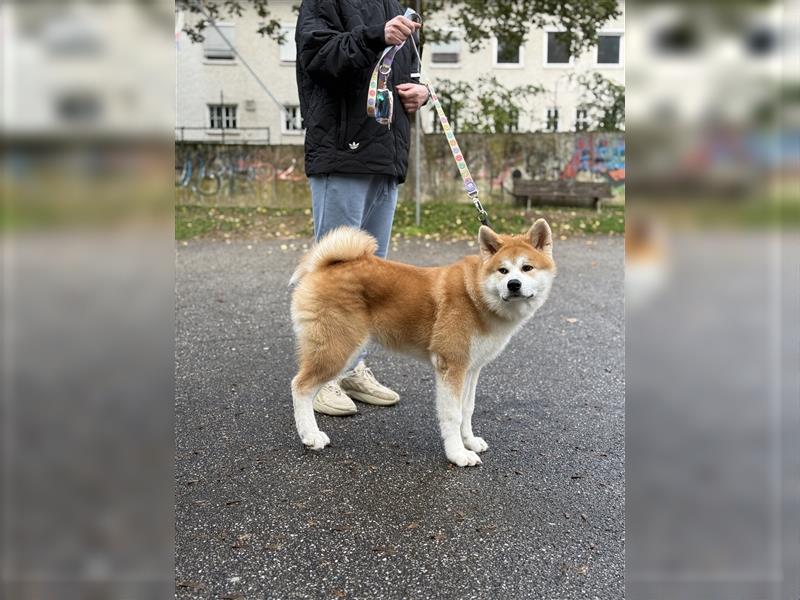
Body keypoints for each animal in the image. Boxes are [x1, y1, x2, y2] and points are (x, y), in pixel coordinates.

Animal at [288, 218, 556, 466]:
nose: (514, 285)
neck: (476, 295)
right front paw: (458, 454)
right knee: (300, 386)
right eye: (503, 271)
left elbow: (467, 409)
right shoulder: (451, 366)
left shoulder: (471, 369)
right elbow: (453, 415)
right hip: (339, 349)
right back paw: (310, 435)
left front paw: (469, 441)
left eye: (527, 267)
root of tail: (325, 266)